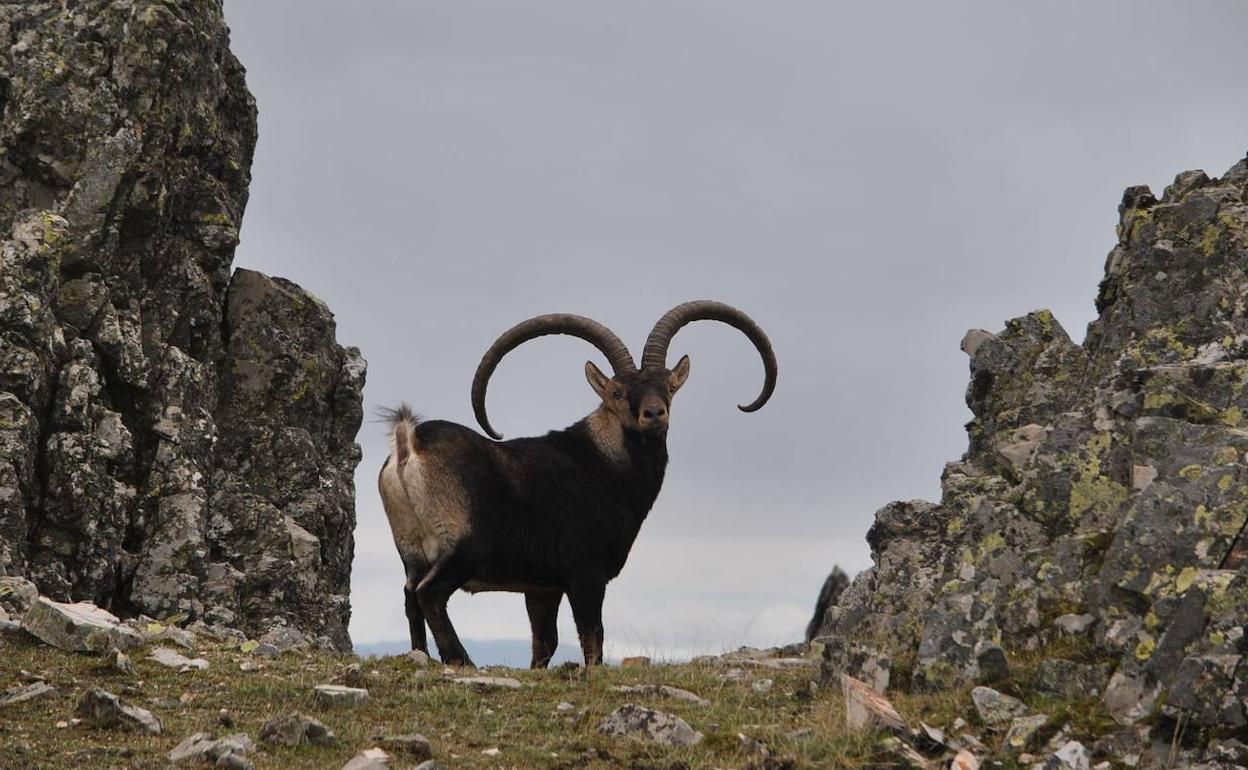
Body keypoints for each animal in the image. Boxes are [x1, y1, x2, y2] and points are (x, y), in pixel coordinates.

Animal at [377, 301, 777, 667]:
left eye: (668, 386)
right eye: (617, 392)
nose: (654, 413)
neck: (603, 461)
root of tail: (411, 442)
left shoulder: (542, 587)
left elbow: (545, 642)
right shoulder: (586, 573)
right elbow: (592, 636)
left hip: (410, 550)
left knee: (410, 596)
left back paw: (421, 655)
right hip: (465, 545)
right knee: (430, 593)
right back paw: (460, 661)